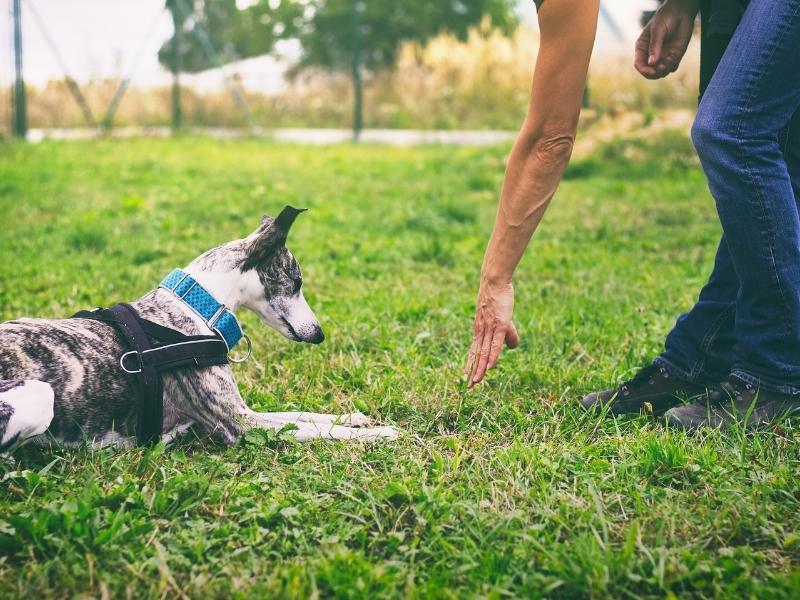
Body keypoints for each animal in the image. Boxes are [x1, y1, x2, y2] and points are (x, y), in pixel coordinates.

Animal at [0, 206, 398, 450]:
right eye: (297, 282)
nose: (319, 334)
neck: (195, 306)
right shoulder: (240, 424)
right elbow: (316, 429)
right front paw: (380, 434)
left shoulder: (247, 412)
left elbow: (305, 414)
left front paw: (356, 418)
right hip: (40, 396)